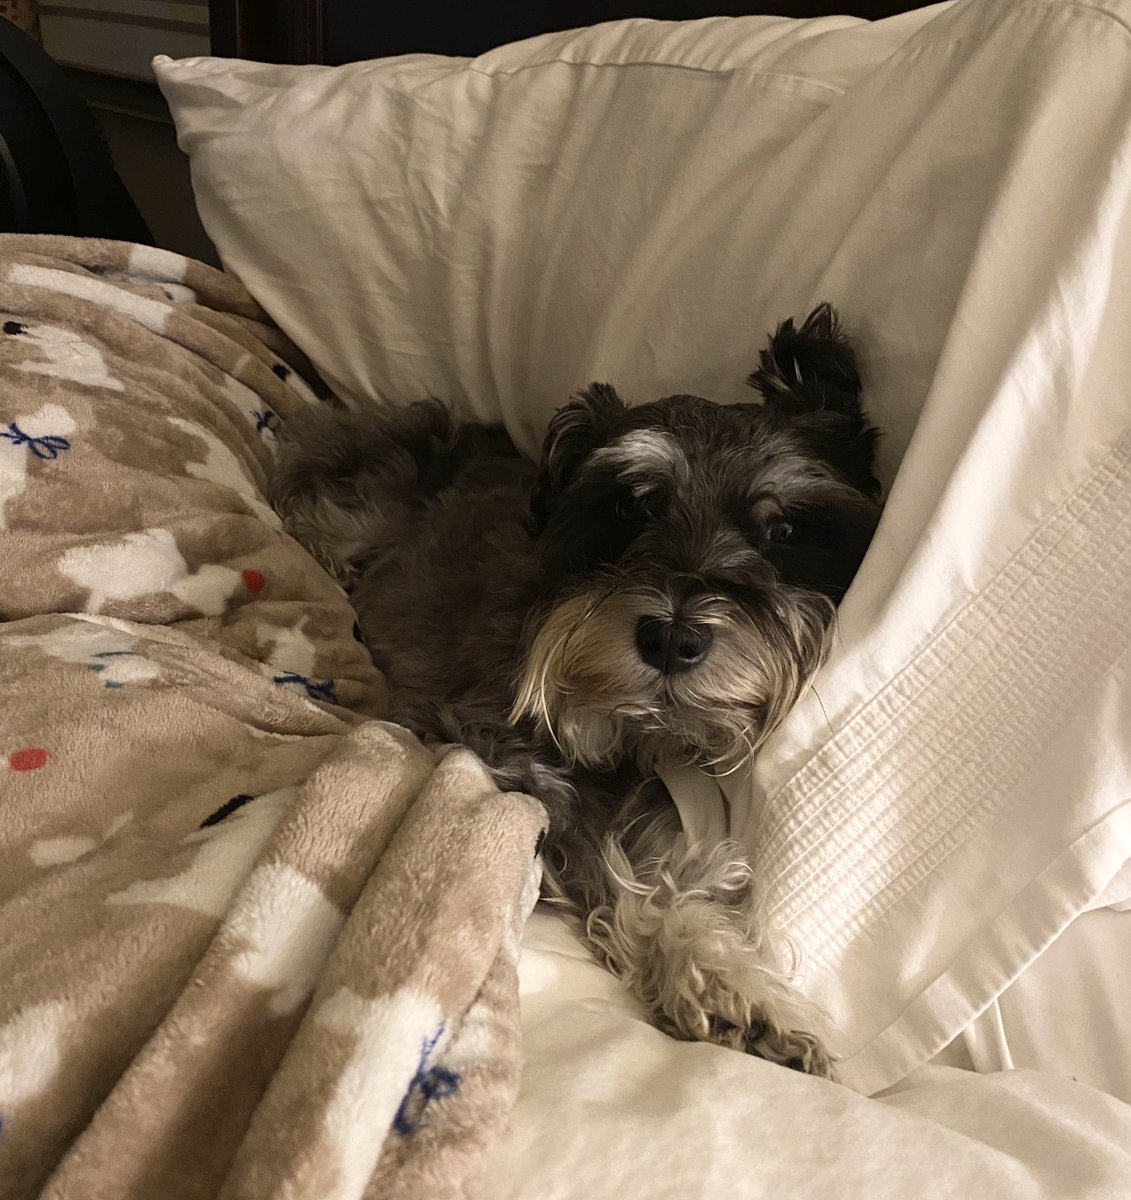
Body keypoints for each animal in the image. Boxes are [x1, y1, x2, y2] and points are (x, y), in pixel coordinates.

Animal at [276, 304, 883, 1075]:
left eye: (783, 529)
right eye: (631, 507)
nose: (671, 638)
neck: (644, 731)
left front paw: (733, 986)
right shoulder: (514, 756)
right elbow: (629, 870)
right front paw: (724, 984)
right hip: (363, 508)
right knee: (314, 517)